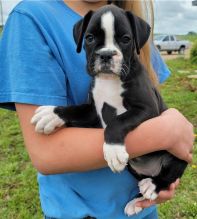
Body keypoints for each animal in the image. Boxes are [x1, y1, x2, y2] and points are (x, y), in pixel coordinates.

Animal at [31, 4, 187, 216]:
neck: (109, 80)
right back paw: (135, 202)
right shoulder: (92, 111)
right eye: (89, 38)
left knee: (169, 176)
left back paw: (153, 185)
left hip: (178, 154)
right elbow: (74, 110)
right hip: (133, 169)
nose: (105, 54)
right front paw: (52, 114)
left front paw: (113, 150)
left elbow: (117, 122)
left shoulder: (148, 110)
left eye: (126, 39)